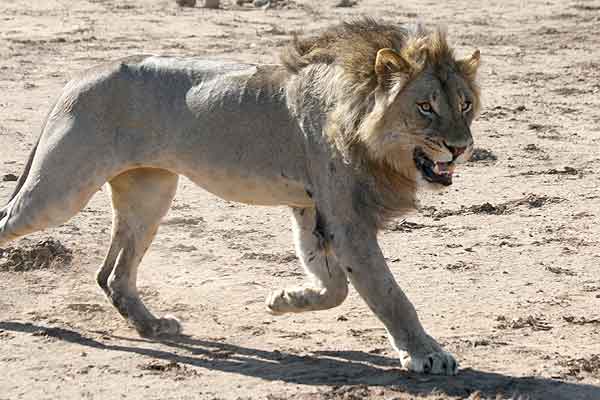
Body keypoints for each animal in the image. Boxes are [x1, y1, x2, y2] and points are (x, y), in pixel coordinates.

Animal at [0, 18, 478, 376]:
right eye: (425, 107)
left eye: (465, 105)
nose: (460, 147)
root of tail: (79, 75)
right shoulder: (347, 219)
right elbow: (388, 293)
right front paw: (426, 354)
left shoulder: (311, 208)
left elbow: (335, 286)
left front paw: (284, 301)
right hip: (60, 192)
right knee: (11, 220)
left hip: (151, 193)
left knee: (114, 275)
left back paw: (153, 325)